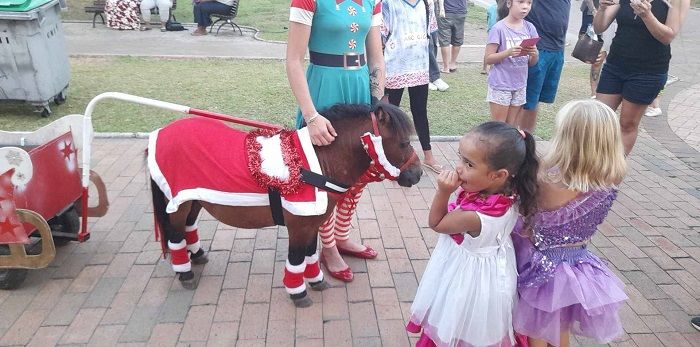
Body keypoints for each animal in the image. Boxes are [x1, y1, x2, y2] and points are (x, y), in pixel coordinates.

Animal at [149, 102, 422, 308]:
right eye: (403, 143)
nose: (418, 174)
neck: (315, 165)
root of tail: (159, 133)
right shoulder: (299, 225)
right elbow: (297, 257)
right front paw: (298, 292)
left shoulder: (312, 222)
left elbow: (310, 253)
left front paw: (317, 281)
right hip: (178, 203)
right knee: (176, 234)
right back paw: (185, 272)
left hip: (193, 198)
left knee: (188, 228)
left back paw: (196, 256)